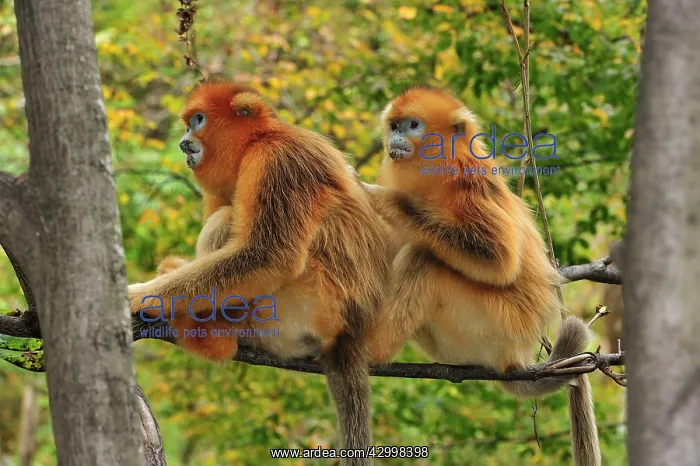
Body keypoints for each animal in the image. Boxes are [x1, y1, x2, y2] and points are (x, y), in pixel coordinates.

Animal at [128, 81, 393, 465]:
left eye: (197, 120)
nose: (183, 141)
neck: (258, 140)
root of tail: (351, 333)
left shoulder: (276, 161)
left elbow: (269, 256)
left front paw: (135, 296)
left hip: (306, 306)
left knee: (229, 224)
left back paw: (213, 336)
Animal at [358, 86, 601, 466]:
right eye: (395, 125)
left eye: (413, 125)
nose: (395, 137)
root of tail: (514, 357)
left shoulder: (469, 180)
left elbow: (500, 259)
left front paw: (381, 199)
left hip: (493, 322)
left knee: (423, 259)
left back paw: (371, 349)